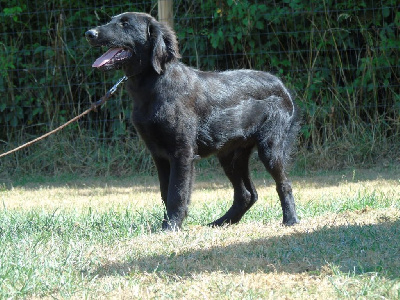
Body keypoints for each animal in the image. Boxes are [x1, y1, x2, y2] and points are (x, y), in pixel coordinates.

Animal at [86, 11, 300, 230]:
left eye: (125, 24)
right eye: (111, 21)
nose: (90, 33)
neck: (152, 86)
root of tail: (283, 87)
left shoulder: (182, 153)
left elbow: (177, 193)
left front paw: (171, 226)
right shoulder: (159, 155)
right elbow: (165, 193)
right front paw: (168, 223)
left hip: (270, 148)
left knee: (284, 184)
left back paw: (290, 220)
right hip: (231, 154)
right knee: (247, 194)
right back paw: (221, 222)